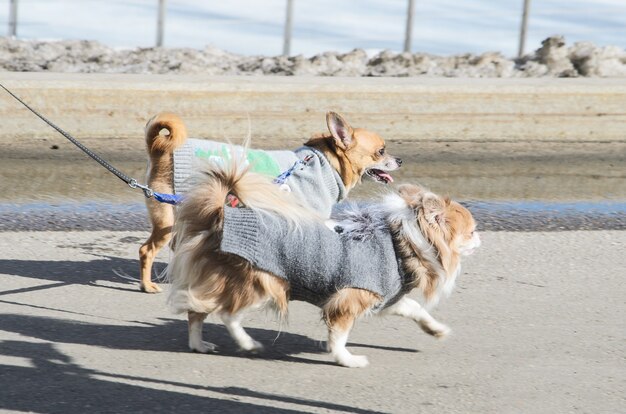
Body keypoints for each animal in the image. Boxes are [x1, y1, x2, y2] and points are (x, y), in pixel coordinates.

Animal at [138, 111, 398, 292]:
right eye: (381, 151)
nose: (400, 160)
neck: (325, 164)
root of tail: (160, 149)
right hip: (168, 219)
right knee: (146, 250)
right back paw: (148, 284)